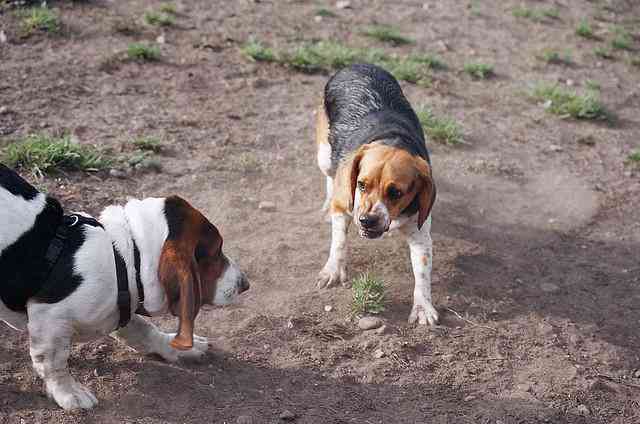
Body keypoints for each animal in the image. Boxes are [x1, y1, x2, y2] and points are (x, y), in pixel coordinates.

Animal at [0, 164, 249, 410]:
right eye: (216, 252)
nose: (245, 284)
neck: (126, 257)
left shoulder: (124, 305)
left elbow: (144, 330)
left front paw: (176, 347)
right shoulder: (49, 318)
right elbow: (54, 363)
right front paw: (69, 393)